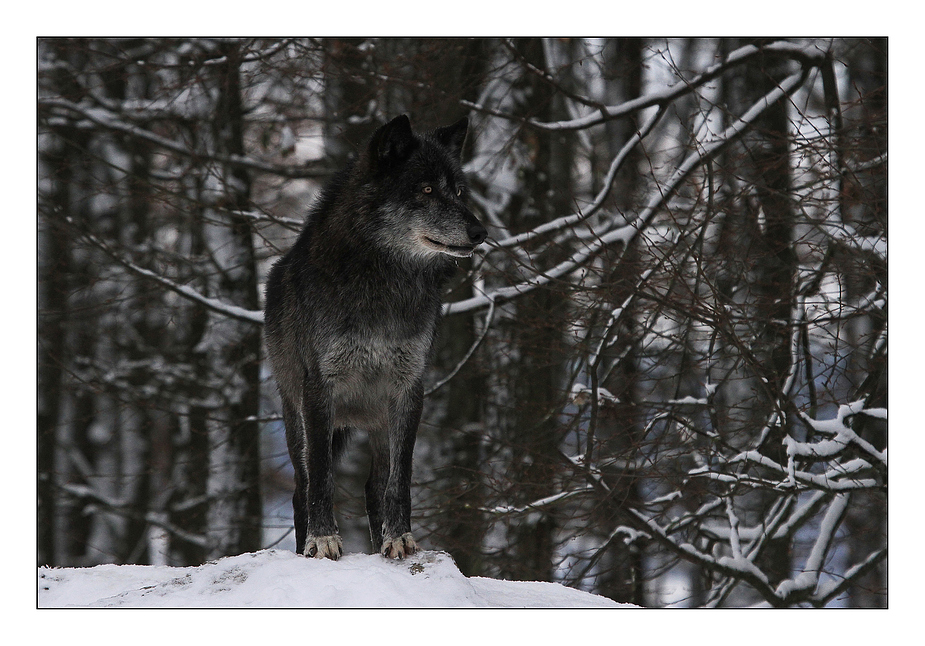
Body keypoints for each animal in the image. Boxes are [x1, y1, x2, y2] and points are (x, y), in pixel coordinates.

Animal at [264, 114, 488, 560]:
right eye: (425, 190)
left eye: (458, 191)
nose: (480, 231)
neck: (385, 281)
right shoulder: (320, 389)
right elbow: (322, 479)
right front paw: (323, 539)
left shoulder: (408, 389)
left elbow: (398, 482)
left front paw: (399, 537)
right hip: (296, 417)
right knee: (302, 487)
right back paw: (304, 544)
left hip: (380, 422)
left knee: (374, 487)